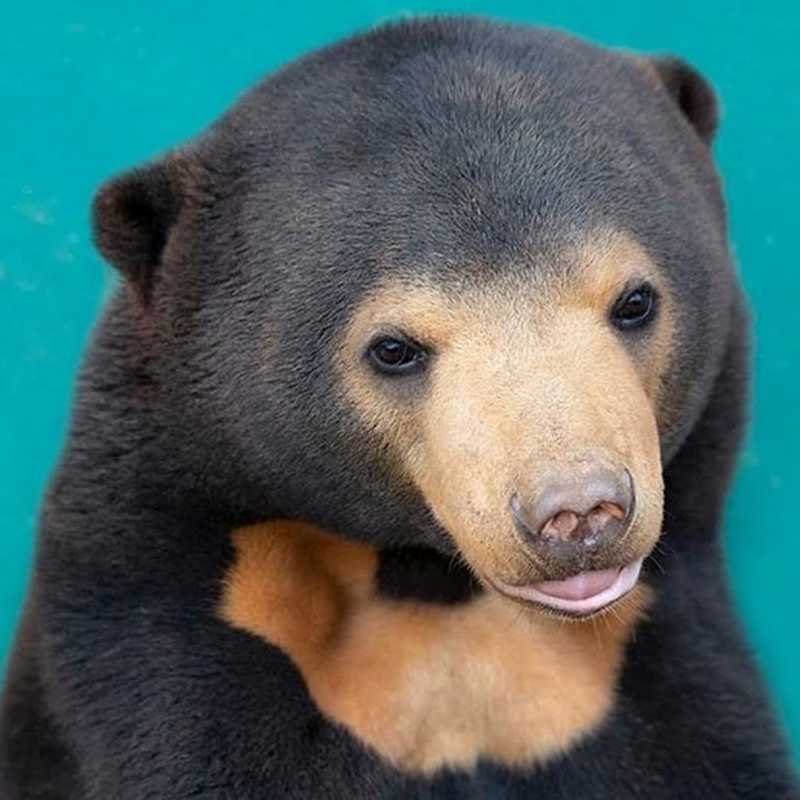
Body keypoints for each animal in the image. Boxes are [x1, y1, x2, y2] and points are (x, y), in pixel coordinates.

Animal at [1, 15, 798, 799]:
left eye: (635, 301)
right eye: (392, 348)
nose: (578, 514)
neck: (437, 597)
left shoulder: (634, 656)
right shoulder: (172, 609)